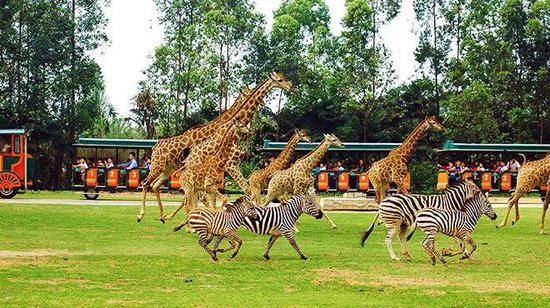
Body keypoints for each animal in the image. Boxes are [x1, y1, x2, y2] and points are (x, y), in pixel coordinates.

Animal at [138, 71, 294, 223]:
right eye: (280, 80)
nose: (291, 86)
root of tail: (155, 146)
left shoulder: (227, 167)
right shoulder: (229, 165)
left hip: (169, 169)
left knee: (158, 186)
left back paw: (164, 216)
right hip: (159, 166)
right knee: (148, 184)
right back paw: (143, 215)